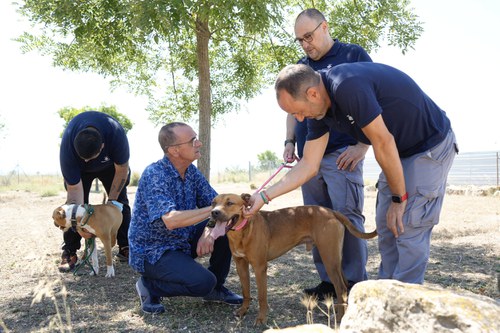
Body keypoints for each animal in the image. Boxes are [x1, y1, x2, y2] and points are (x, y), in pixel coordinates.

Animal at [209, 192, 376, 324]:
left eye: (230, 203)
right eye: (213, 203)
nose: (214, 213)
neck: (242, 231)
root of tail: (331, 211)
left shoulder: (259, 267)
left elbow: (262, 297)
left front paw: (261, 318)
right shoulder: (240, 265)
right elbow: (246, 292)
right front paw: (243, 310)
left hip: (329, 259)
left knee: (340, 287)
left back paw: (340, 317)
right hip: (335, 259)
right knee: (345, 285)